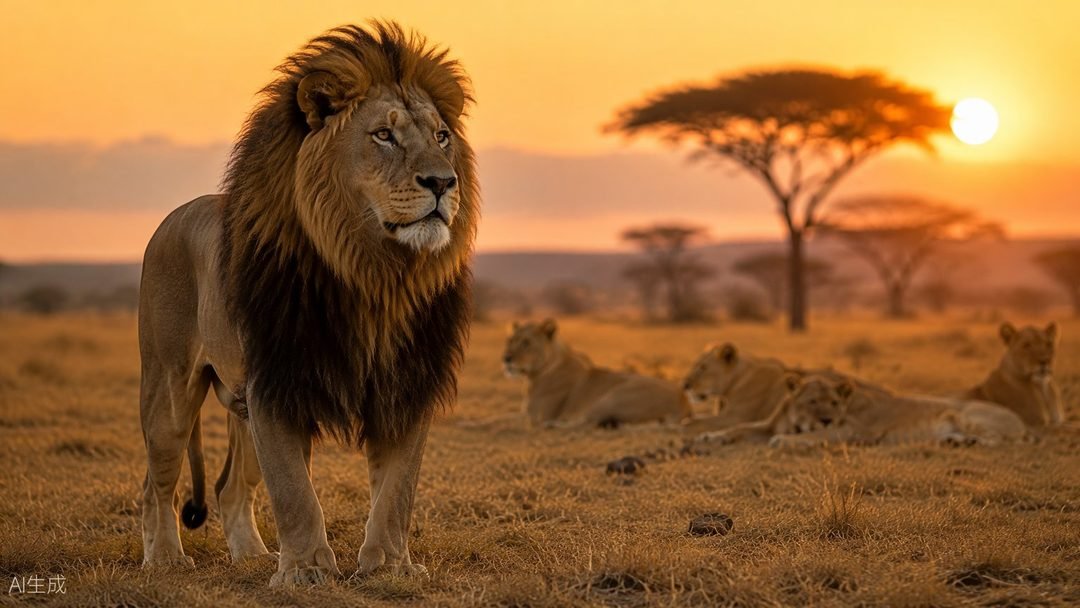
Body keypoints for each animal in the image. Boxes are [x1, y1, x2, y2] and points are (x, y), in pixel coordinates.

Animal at [138, 22, 477, 587]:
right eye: (383, 136)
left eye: (441, 137)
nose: (443, 182)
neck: (374, 275)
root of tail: (173, 216)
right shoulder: (278, 383)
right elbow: (295, 493)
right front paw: (306, 572)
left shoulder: (406, 384)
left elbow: (397, 492)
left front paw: (390, 566)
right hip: (169, 388)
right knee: (155, 484)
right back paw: (164, 558)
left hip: (240, 407)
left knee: (231, 489)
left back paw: (252, 556)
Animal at [502, 319, 691, 427]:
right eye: (510, 340)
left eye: (526, 343)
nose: (506, 358)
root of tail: (684, 402)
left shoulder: (536, 416)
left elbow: (505, 419)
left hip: (608, 399)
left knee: (586, 422)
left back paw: (554, 424)